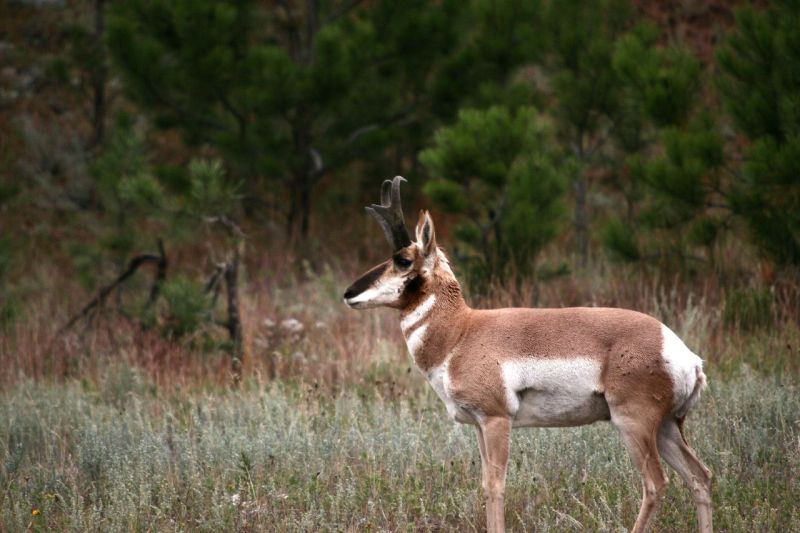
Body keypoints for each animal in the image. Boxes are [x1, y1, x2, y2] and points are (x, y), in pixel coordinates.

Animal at [344, 178, 712, 532]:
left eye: (403, 260)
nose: (348, 293)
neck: (461, 332)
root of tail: (684, 354)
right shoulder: (478, 426)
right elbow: (485, 485)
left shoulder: (497, 420)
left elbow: (496, 487)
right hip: (666, 427)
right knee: (700, 477)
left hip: (634, 423)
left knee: (655, 484)